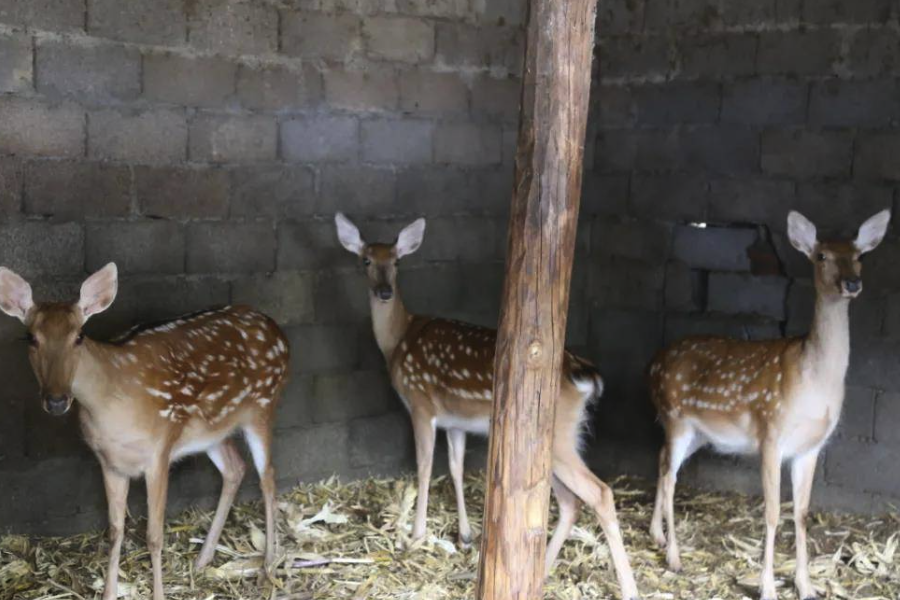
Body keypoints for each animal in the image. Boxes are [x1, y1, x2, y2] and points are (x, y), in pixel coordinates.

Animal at [0, 264, 288, 600]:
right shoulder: (109, 462)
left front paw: (159, 594)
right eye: (31, 337)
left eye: (79, 336)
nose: (56, 400)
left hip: (263, 406)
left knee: (268, 476)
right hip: (210, 431)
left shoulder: (159, 451)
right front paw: (109, 593)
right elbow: (115, 530)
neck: (111, 406)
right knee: (235, 468)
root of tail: (276, 329)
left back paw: (268, 569)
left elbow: (154, 535)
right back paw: (203, 559)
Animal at [336, 213, 640, 596]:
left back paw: (628, 589)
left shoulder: (420, 404)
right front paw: (466, 536)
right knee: (571, 502)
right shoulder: (454, 421)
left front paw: (416, 535)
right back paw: (540, 573)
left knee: (599, 492)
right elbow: (455, 467)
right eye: (365, 260)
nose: (384, 291)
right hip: (559, 440)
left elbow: (424, 467)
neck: (398, 340)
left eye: (397, 261)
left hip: (557, 434)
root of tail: (585, 375)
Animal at [648, 210, 892, 600]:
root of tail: (653, 363)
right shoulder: (771, 435)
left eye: (860, 256)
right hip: (676, 417)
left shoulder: (811, 447)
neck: (814, 384)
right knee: (670, 477)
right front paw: (767, 587)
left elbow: (802, 513)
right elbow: (773, 512)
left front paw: (806, 586)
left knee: (661, 461)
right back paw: (674, 556)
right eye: (821, 255)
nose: (852, 283)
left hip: (698, 433)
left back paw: (656, 535)